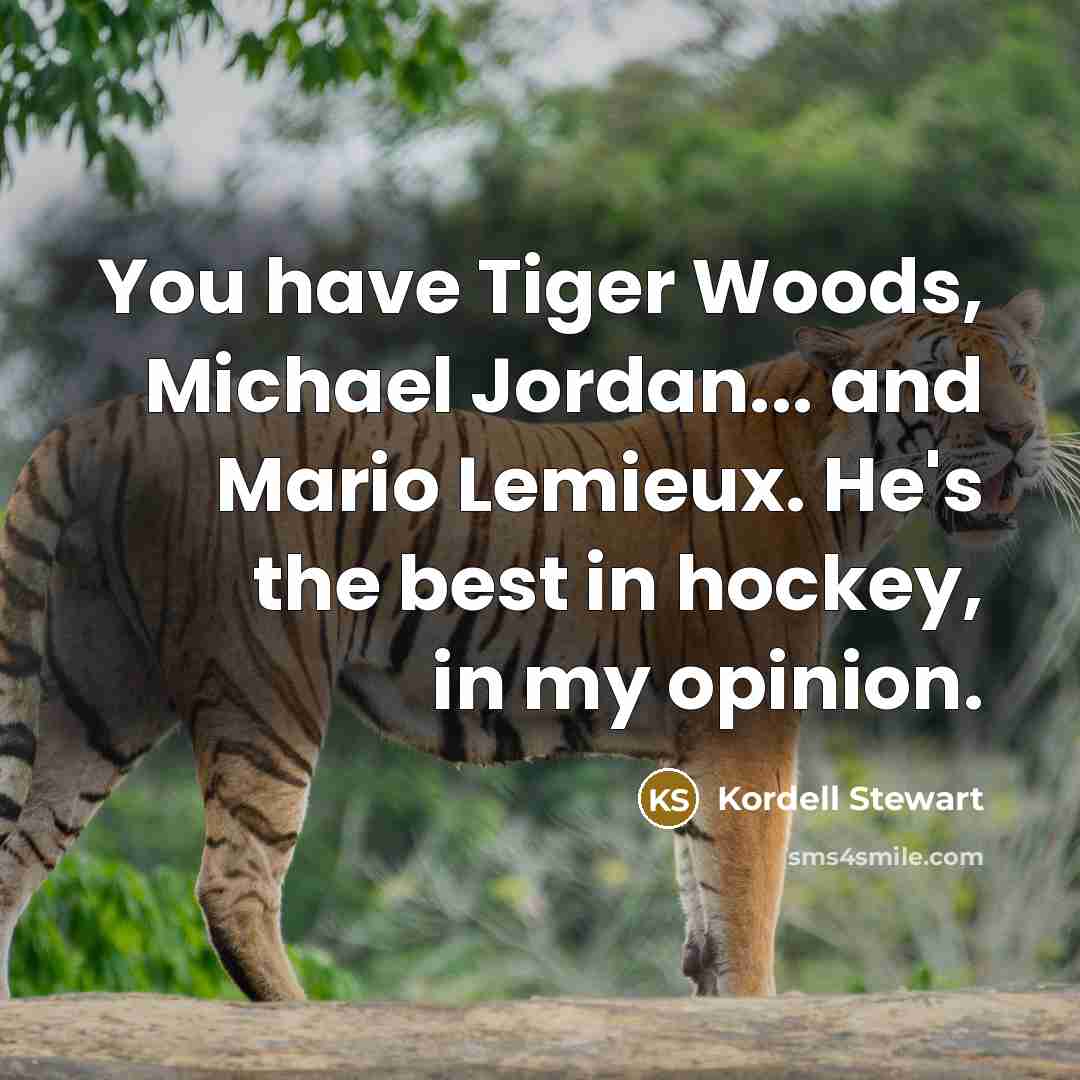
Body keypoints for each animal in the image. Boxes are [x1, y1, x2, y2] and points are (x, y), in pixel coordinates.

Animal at [0, 289, 1049, 1000]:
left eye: (1023, 371)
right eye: (946, 376)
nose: (1021, 434)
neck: (849, 479)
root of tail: (107, 416)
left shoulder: (699, 739)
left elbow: (706, 906)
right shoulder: (747, 720)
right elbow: (748, 897)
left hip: (94, 694)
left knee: (17, 851)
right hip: (264, 678)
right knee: (234, 882)